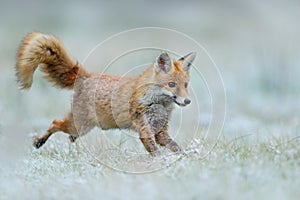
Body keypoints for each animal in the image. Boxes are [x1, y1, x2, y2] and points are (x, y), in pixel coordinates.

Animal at [15, 32, 196, 155]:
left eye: (186, 85)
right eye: (171, 85)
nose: (187, 101)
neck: (158, 103)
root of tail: (86, 75)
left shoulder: (160, 131)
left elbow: (175, 147)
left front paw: (185, 158)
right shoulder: (145, 130)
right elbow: (156, 152)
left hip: (81, 128)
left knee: (67, 132)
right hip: (80, 125)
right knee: (55, 123)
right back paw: (39, 141)